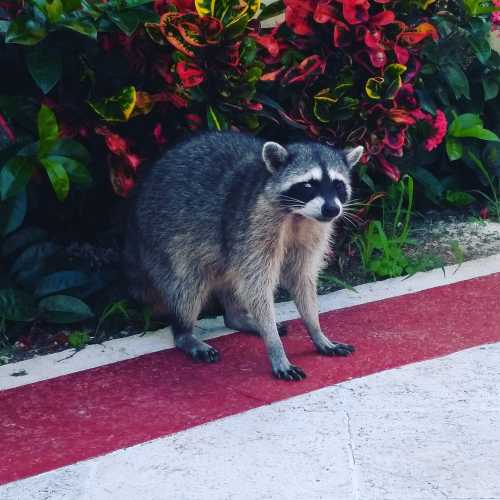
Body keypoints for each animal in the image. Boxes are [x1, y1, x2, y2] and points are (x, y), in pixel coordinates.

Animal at [123, 131, 362, 380]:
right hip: (163, 239)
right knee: (187, 285)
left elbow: (302, 279)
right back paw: (184, 331)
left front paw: (316, 329)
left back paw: (236, 317)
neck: (298, 215)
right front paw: (275, 346)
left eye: (338, 185)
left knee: (230, 278)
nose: (332, 209)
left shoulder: (313, 230)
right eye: (308, 185)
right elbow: (257, 287)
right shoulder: (252, 224)